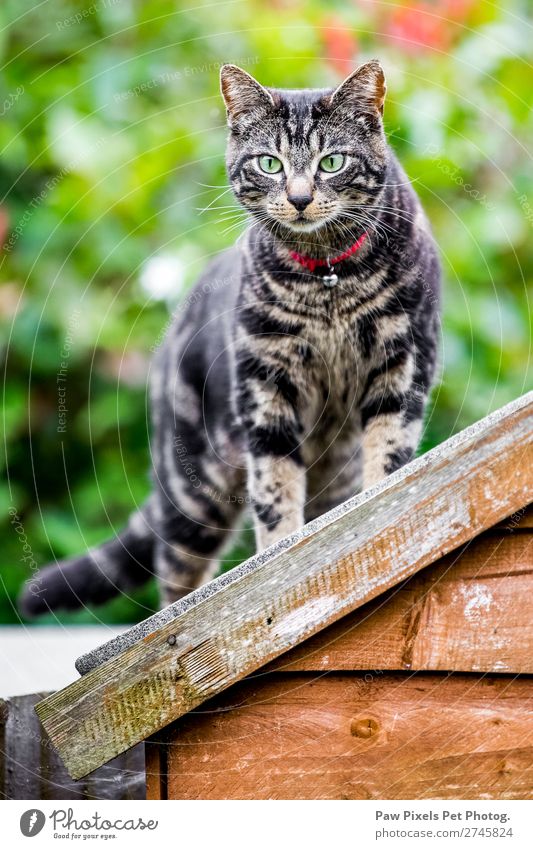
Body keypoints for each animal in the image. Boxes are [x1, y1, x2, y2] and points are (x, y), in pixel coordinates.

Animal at [19, 61, 440, 616]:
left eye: (331, 162)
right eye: (269, 164)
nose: (300, 198)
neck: (327, 282)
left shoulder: (403, 366)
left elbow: (388, 460)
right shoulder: (267, 384)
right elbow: (275, 493)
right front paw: (281, 557)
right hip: (193, 491)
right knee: (175, 577)